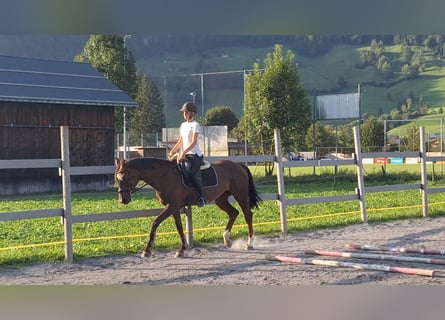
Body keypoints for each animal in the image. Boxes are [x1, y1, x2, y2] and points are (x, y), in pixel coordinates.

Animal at [114, 158, 260, 258]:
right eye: (117, 178)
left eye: (125, 177)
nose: (123, 200)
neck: (164, 176)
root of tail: (238, 165)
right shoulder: (174, 208)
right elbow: (179, 228)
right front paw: (182, 250)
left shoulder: (172, 206)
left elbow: (155, 222)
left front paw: (147, 250)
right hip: (221, 199)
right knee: (234, 213)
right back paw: (227, 239)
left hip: (241, 196)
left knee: (248, 215)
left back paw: (249, 243)